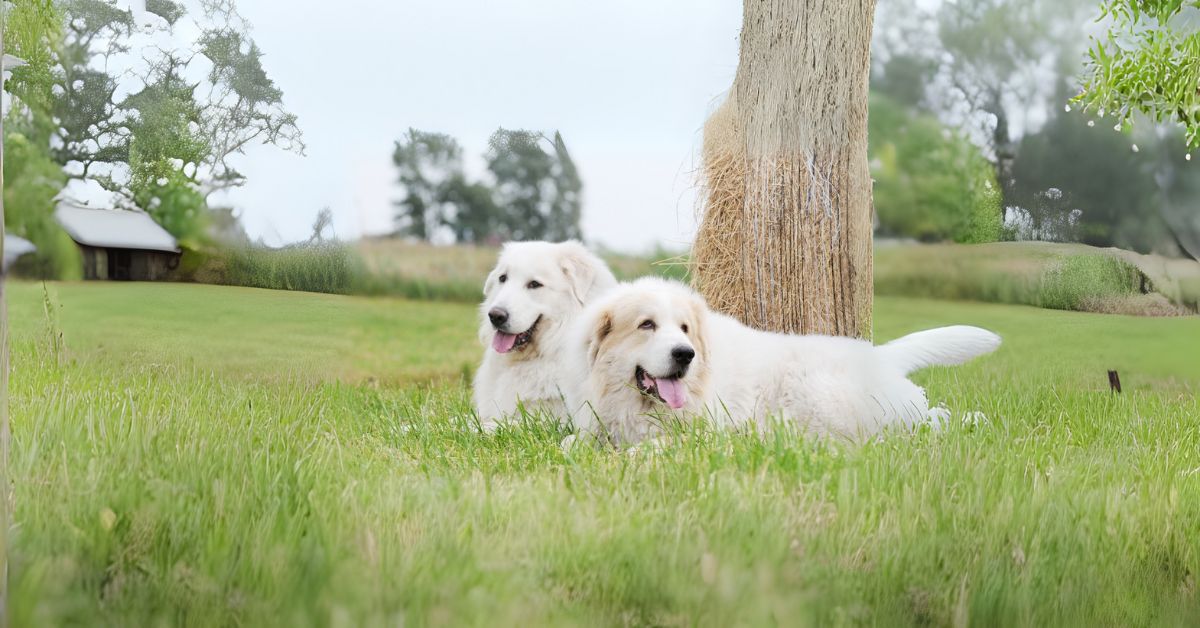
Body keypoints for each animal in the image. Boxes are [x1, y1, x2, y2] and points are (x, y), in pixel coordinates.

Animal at [566, 277, 998, 444]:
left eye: (685, 328)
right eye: (647, 324)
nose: (685, 354)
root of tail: (879, 354)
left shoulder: (701, 434)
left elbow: (652, 447)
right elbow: (573, 441)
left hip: (822, 394)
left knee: (927, 421)